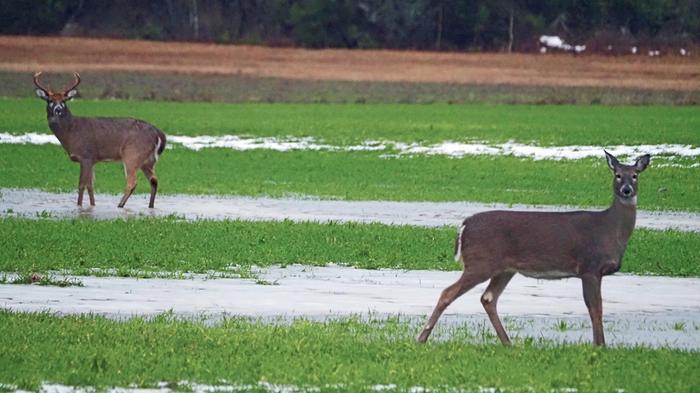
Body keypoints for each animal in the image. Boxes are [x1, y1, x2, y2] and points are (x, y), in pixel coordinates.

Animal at [33, 72, 167, 208]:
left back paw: (120, 205)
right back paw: (150, 206)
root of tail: (159, 134)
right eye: (50, 100)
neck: (71, 131)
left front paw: (79, 206)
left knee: (132, 182)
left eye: (64, 100)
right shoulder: (93, 160)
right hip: (148, 161)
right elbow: (90, 185)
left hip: (133, 155)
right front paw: (92, 205)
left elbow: (82, 185)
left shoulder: (86, 155)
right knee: (154, 180)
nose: (58, 110)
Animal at [416, 151, 652, 346]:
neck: (609, 229)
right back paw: (422, 338)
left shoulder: (595, 271)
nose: (627, 190)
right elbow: (595, 308)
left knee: (488, 298)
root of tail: (464, 225)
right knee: (448, 292)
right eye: (618, 175)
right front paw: (600, 345)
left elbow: (597, 308)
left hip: (504, 269)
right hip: (480, 262)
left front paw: (600, 344)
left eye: (635, 175)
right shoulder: (589, 267)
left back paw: (508, 342)